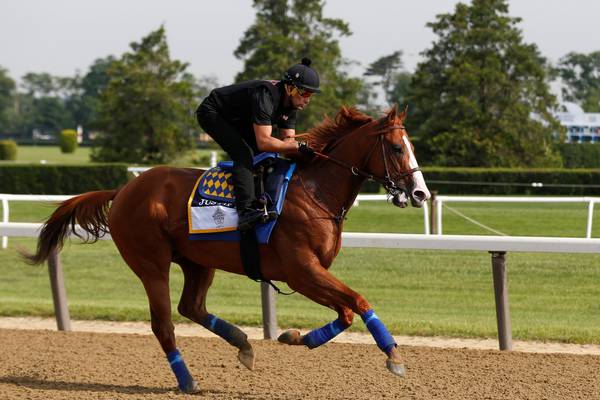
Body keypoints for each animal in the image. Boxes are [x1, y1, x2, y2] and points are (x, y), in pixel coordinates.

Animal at [27, 106, 432, 394]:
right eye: (397, 147)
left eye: (412, 147)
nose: (420, 193)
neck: (315, 191)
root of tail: (123, 189)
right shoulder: (301, 271)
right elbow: (358, 302)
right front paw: (394, 356)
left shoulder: (311, 272)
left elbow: (346, 312)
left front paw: (296, 337)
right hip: (151, 263)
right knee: (163, 323)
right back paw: (187, 380)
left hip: (197, 261)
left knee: (191, 307)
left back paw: (243, 345)